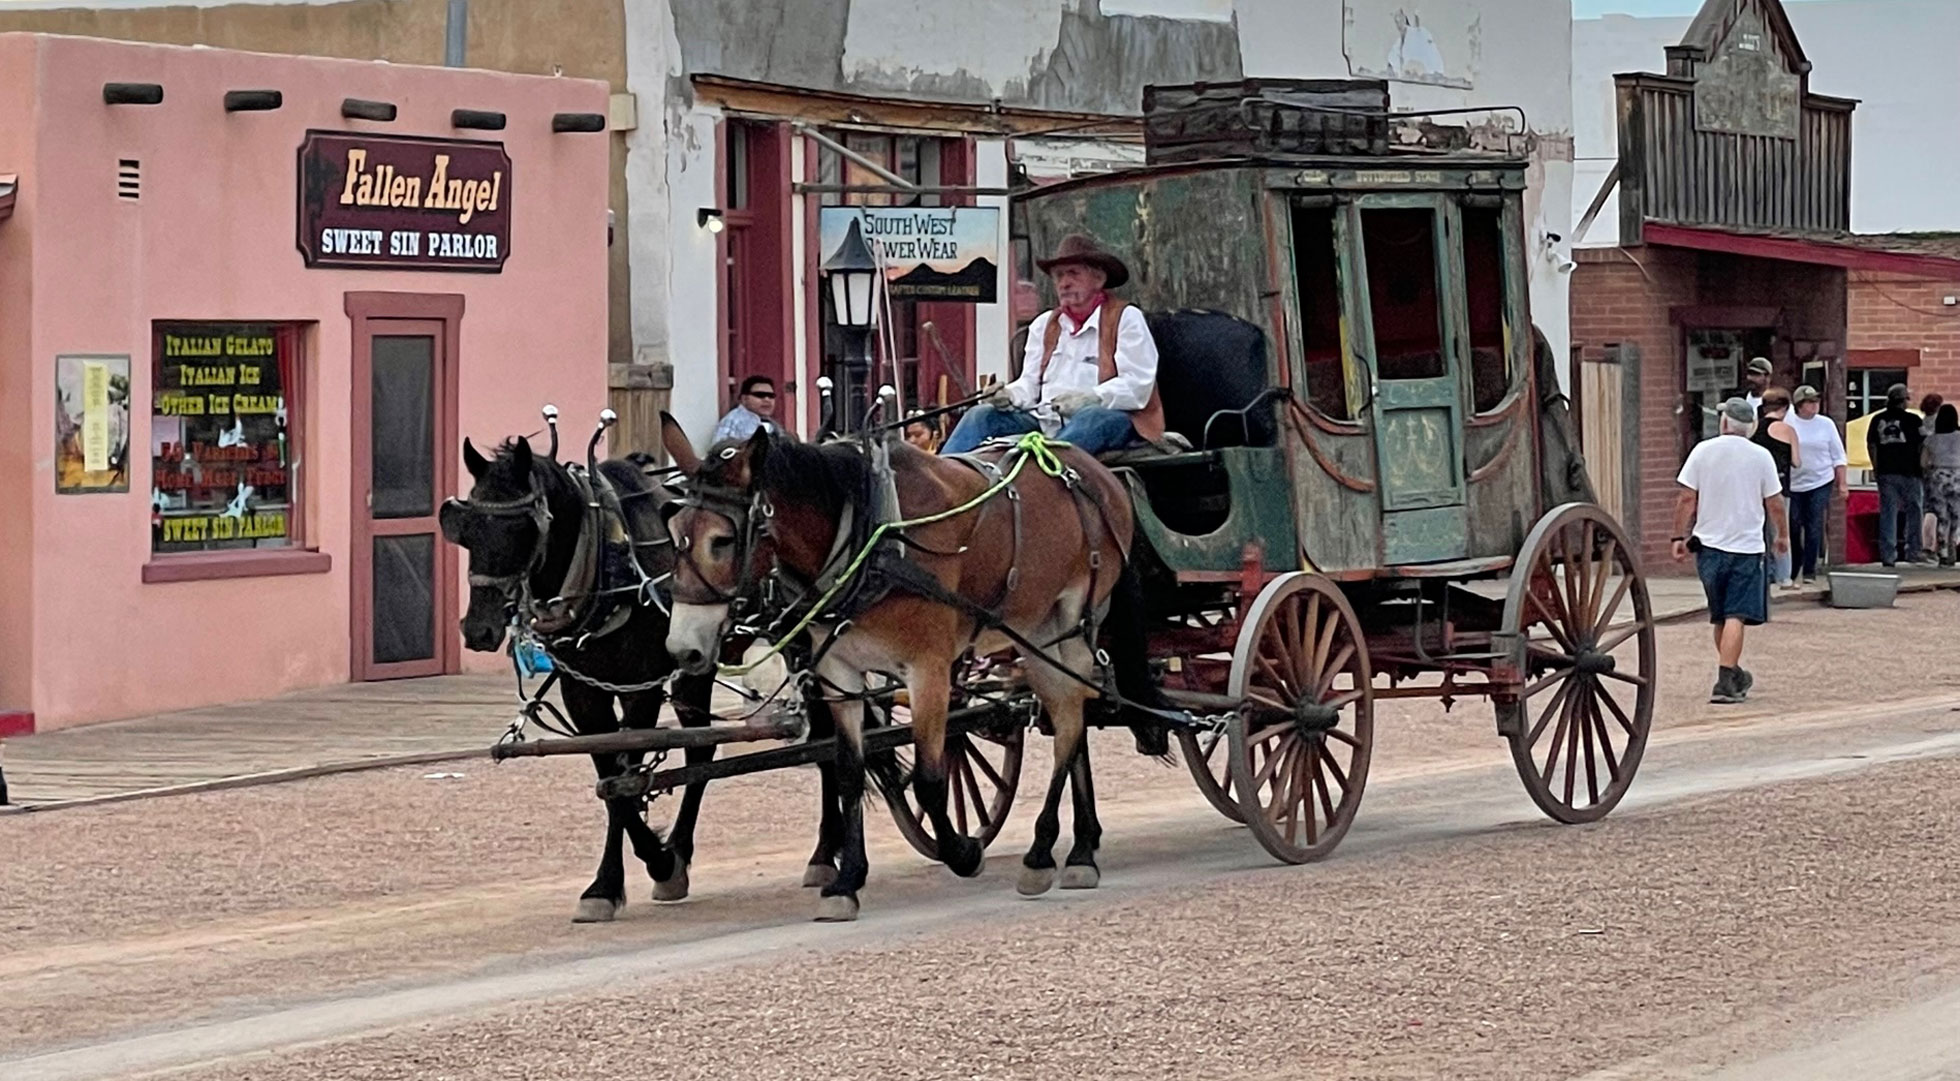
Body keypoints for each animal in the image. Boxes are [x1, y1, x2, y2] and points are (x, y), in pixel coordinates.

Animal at [441, 434, 717, 924]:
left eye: (522, 530)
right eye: (467, 530)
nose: (478, 630)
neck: (610, 562)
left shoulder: (641, 687)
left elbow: (625, 779)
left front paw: (658, 864)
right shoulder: (583, 691)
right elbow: (612, 783)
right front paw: (609, 883)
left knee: (707, 750)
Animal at [662, 417, 1160, 924]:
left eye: (721, 541)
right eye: (674, 531)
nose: (683, 650)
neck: (870, 534)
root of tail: (1096, 471)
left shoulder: (929, 671)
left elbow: (930, 780)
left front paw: (963, 852)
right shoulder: (839, 674)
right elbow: (848, 772)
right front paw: (847, 880)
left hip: (1075, 622)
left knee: (1070, 725)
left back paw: (1049, 853)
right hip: (1036, 634)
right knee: (1071, 721)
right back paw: (1080, 845)